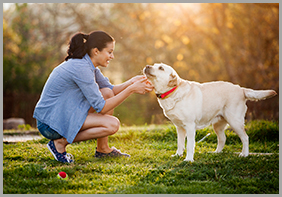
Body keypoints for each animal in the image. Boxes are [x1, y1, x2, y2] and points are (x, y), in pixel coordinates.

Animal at [144, 63, 276, 162]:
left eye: (161, 68)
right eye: (154, 65)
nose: (147, 66)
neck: (172, 92)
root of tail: (241, 88)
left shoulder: (190, 126)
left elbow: (189, 145)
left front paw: (188, 159)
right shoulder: (179, 127)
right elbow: (180, 143)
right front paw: (178, 155)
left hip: (235, 121)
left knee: (245, 138)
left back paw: (244, 154)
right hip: (218, 125)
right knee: (222, 138)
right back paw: (216, 153)